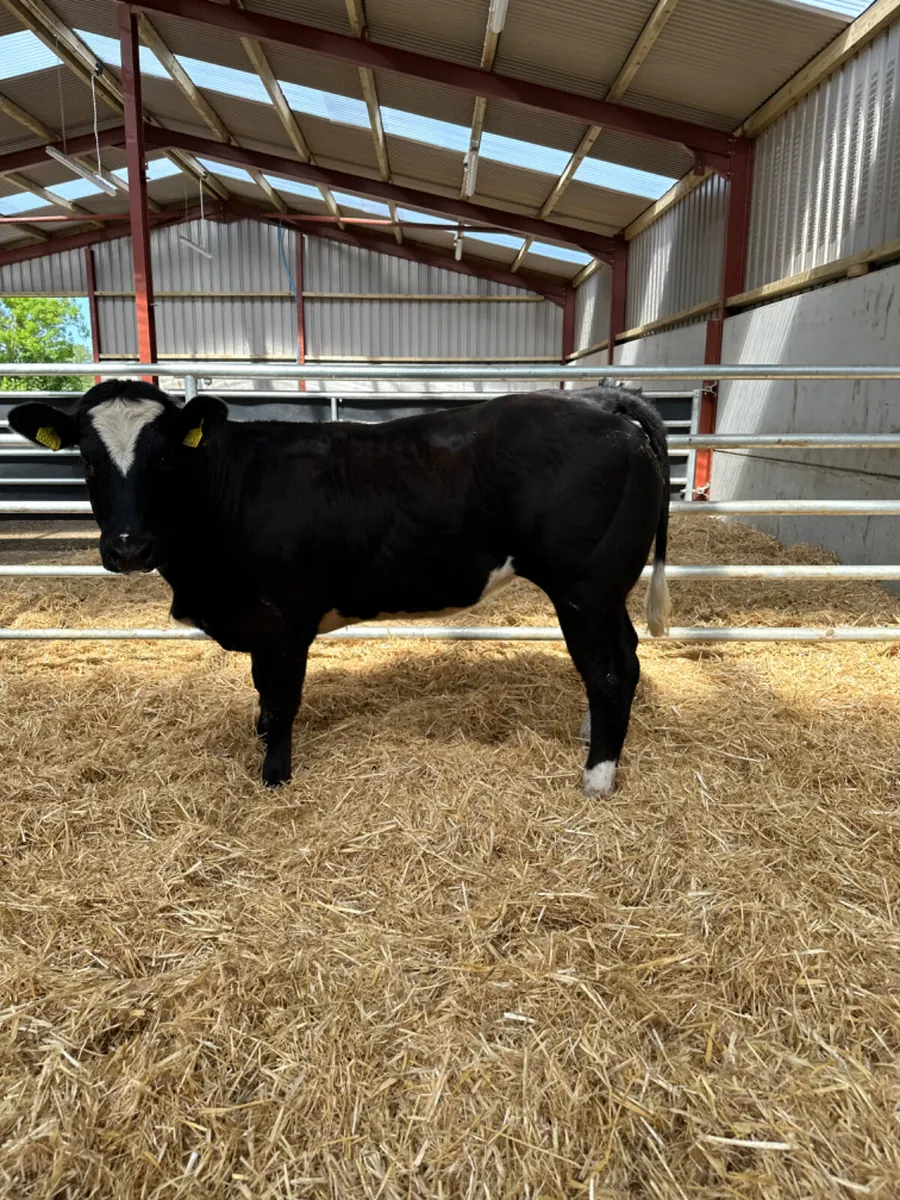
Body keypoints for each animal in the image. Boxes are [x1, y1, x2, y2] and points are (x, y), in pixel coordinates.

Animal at [9, 381, 670, 796]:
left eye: (166, 457)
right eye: (87, 459)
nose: (127, 549)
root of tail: (598, 400)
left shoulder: (281, 622)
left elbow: (282, 699)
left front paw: (274, 774)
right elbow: (262, 695)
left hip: (584, 586)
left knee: (607, 672)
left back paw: (597, 777)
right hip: (607, 591)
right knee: (628, 658)